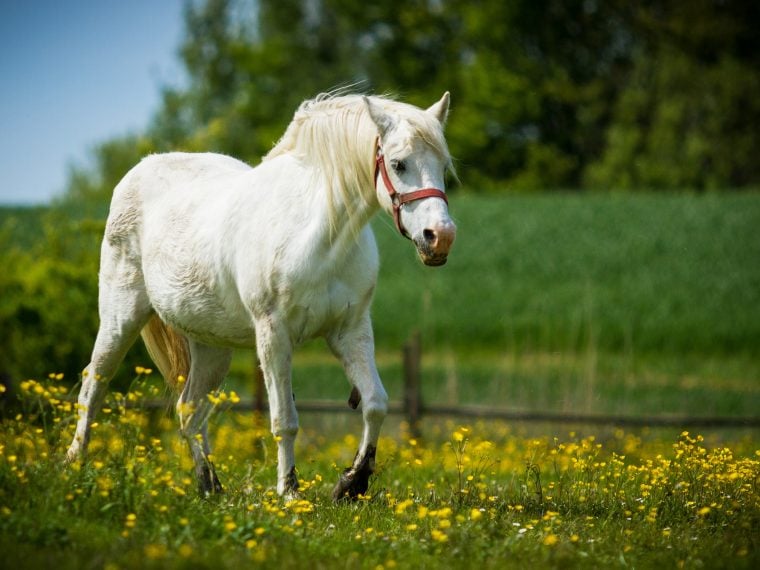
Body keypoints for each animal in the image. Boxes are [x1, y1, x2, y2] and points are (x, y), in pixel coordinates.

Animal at [65, 92, 458, 496]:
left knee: (190, 410)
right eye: (398, 164)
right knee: (93, 386)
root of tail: (139, 171)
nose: (440, 237)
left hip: (211, 347)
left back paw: (210, 486)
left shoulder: (350, 331)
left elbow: (376, 402)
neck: (320, 235)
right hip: (121, 318)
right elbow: (284, 419)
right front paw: (289, 492)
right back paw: (75, 466)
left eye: (444, 166)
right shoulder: (273, 334)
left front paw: (352, 483)